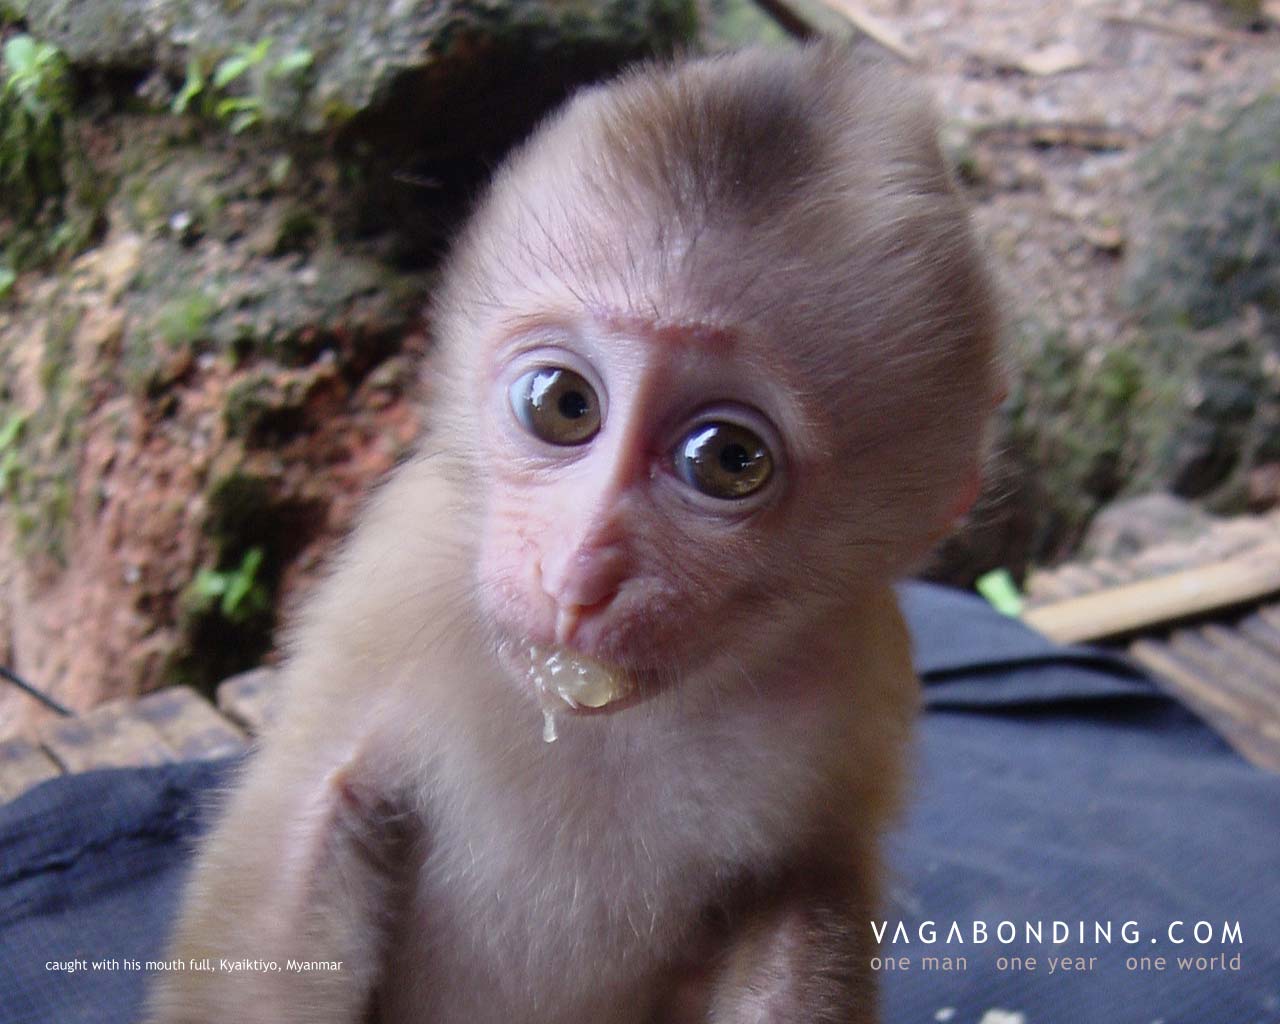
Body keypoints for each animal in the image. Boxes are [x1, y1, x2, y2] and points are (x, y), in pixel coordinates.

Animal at [147, 41, 998, 1024]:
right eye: (562, 404)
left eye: (728, 458)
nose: (579, 571)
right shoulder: (393, 580)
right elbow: (308, 824)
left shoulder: (853, 680)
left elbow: (802, 890)